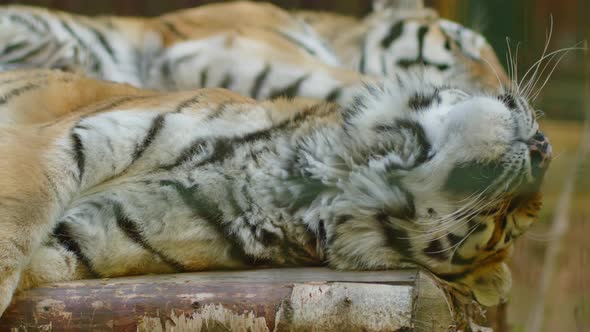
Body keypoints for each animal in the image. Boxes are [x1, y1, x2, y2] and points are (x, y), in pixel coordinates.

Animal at [0, 67, 552, 316]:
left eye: (503, 225)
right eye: (515, 220)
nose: (545, 149)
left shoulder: (88, 237)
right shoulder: (60, 139)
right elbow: (16, 222)